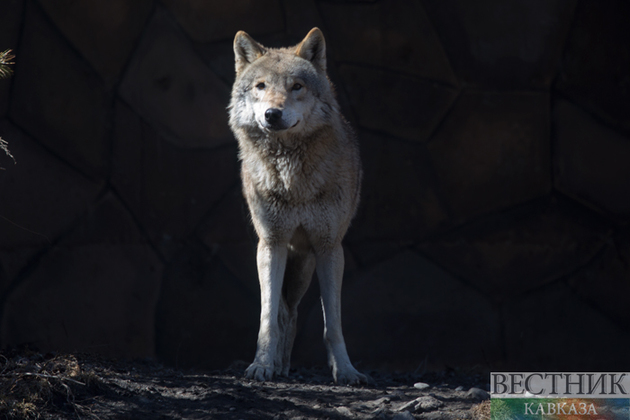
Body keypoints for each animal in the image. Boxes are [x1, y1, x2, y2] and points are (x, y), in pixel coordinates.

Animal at [228, 27, 368, 386]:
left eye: (296, 87)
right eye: (261, 86)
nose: (272, 114)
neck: (293, 179)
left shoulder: (329, 247)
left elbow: (333, 324)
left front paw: (346, 370)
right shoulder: (271, 243)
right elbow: (267, 318)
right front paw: (261, 365)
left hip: (304, 264)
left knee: (290, 312)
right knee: (281, 312)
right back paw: (277, 365)